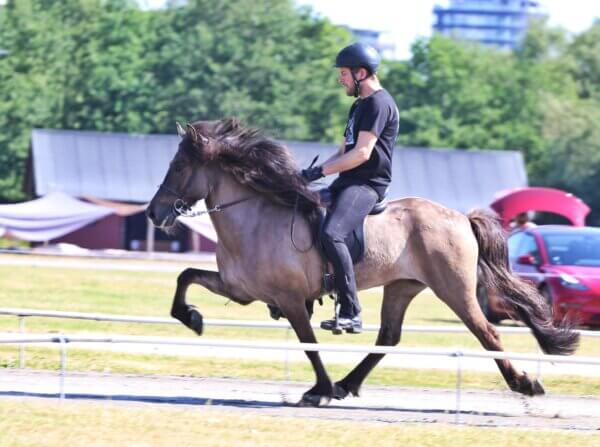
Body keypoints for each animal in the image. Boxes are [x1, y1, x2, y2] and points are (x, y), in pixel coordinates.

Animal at [143, 117, 580, 408]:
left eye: (179, 167)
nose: (153, 213)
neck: (254, 216)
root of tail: (460, 218)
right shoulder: (240, 289)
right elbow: (186, 276)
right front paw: (191, 317)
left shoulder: (290, 299)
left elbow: (308, 344)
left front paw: (317, 390)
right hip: (403, 286)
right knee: (389, 336)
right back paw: (345, 384)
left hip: (454, 289)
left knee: (487, 332)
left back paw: (524, 383)